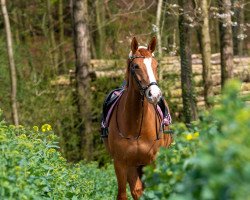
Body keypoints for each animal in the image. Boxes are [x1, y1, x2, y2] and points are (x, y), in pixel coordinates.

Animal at [103, 36, 172, 199]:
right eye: (135, 66)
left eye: (156, 65)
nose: (155, 94)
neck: (136, 127)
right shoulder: (121, 163)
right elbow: (124, 193)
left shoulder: (153, 161)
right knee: (137, 190)